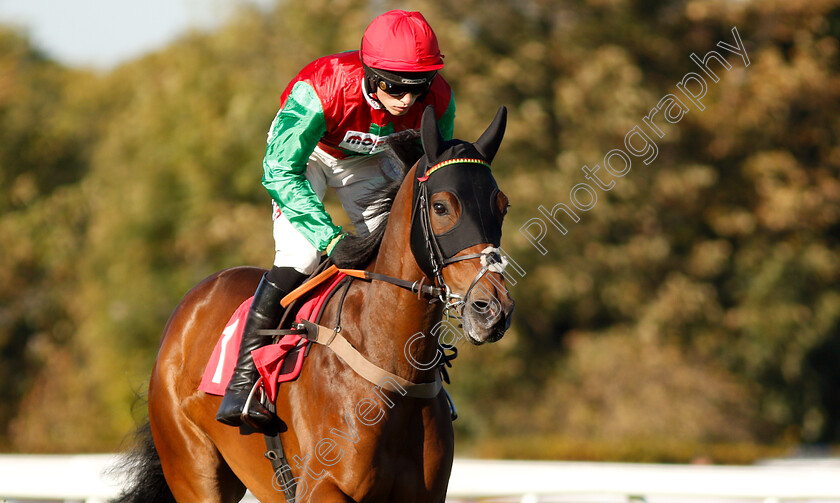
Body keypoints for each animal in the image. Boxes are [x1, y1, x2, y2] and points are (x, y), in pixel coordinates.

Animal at [115, 104, 516, 502]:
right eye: (441, 206)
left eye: (502, 205)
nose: (493, 308)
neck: (393, 370)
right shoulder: (321, 486)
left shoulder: (426, 493)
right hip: (193, 470)